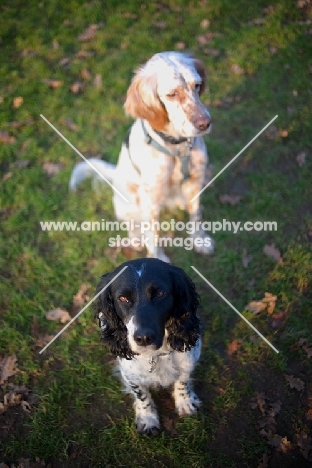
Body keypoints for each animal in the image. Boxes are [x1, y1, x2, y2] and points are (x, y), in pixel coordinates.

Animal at [95, 256, 202, 436]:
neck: (156, 355)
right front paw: (147, 419)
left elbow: (182, 382)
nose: (143, 338)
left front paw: (185, 402)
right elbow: (142, 396)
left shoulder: (188, 361)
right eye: (122, 298)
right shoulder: (130, 375)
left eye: (160, 293)